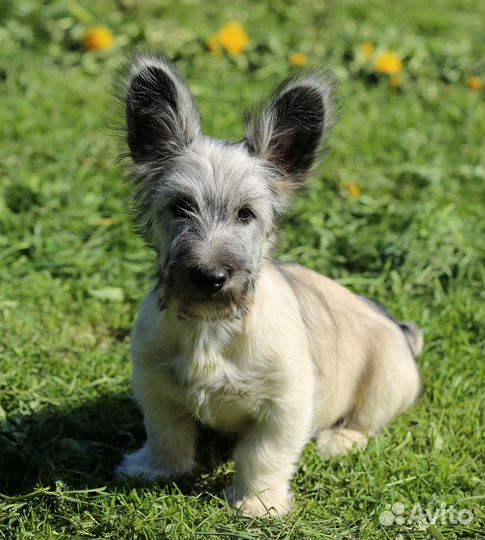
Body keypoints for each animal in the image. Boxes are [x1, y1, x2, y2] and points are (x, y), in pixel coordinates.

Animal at [116, 54, 420, 520]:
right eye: (180, 207)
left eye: (246, 214)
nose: (211, 277)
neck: (210, 327)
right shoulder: (154, 385)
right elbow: (166, 433)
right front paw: (157, 468)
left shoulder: (286, 405)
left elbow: (263, 455)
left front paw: (258, 503)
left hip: (386, 378)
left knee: (368, 421)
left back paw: (340, 439)